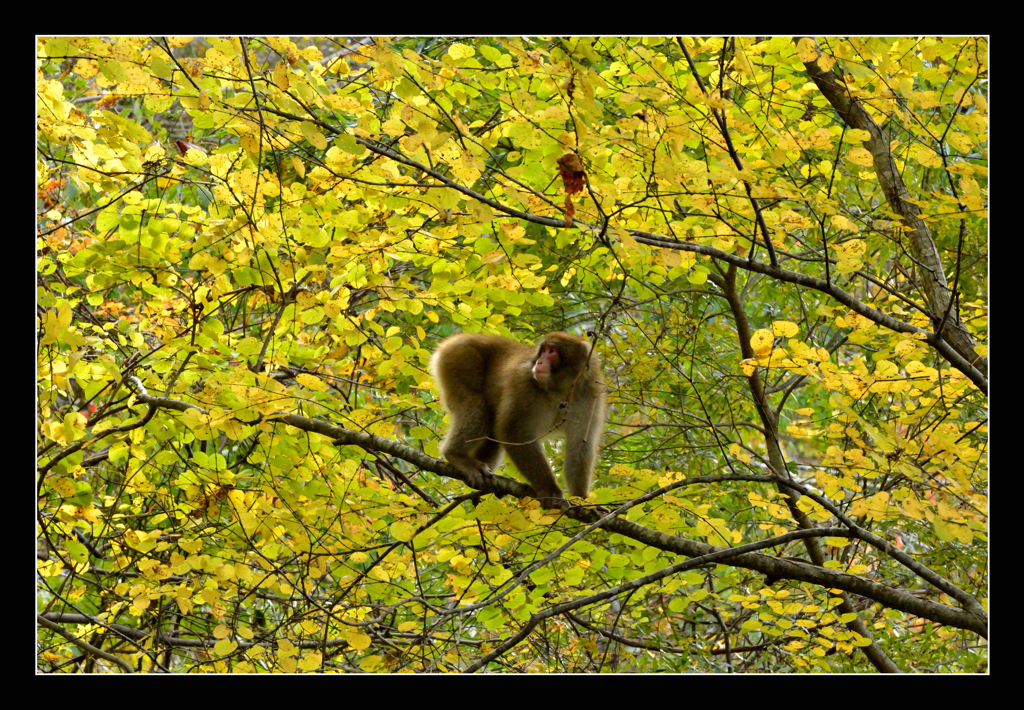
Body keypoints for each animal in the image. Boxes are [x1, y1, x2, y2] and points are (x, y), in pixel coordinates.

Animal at [428, 331, 602, 497]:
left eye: (552, 351)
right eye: (543, 351)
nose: (539, 362)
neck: (560, 389)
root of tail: (452, 341)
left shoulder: (589, 396)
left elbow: (580, 443)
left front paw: (580, 498)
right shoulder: (523, 384)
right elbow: (513, 432)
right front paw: (549, 489)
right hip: (459, 359)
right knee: (478, 409)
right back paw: (456, 455)